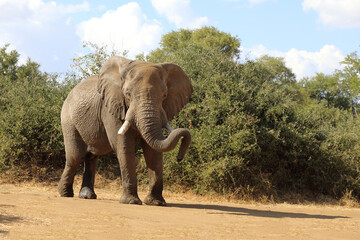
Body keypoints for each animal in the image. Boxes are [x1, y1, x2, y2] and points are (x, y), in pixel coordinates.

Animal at [57, 56, 193, 206]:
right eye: (127, 94)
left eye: (164, 95)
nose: (179, 157)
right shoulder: (111, 107)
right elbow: (124, 146)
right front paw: (131, 202)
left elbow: (153, 151)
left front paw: (156, 203)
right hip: (68, 120)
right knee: (76, 156)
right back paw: (65, 194)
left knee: (91, 156)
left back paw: (87, 196)